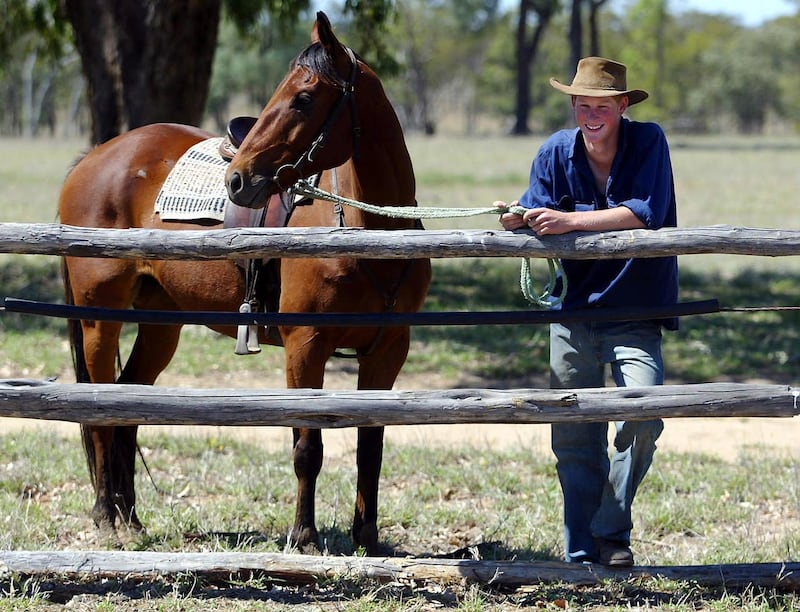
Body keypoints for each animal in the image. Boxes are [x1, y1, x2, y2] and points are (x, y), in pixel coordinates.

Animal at [57, 9, 432, 556]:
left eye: (302, 98)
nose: (237, 179)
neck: (369, 231)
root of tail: (92, 158)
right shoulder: (305, 346)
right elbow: (307, 447)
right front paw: (304, 537)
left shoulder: (387, 352)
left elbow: (371, 446)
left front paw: (367, 539)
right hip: (98, 321)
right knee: (101, 410)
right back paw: (107, 516)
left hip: (160, 323)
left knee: (128, 404)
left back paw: (130, 518)